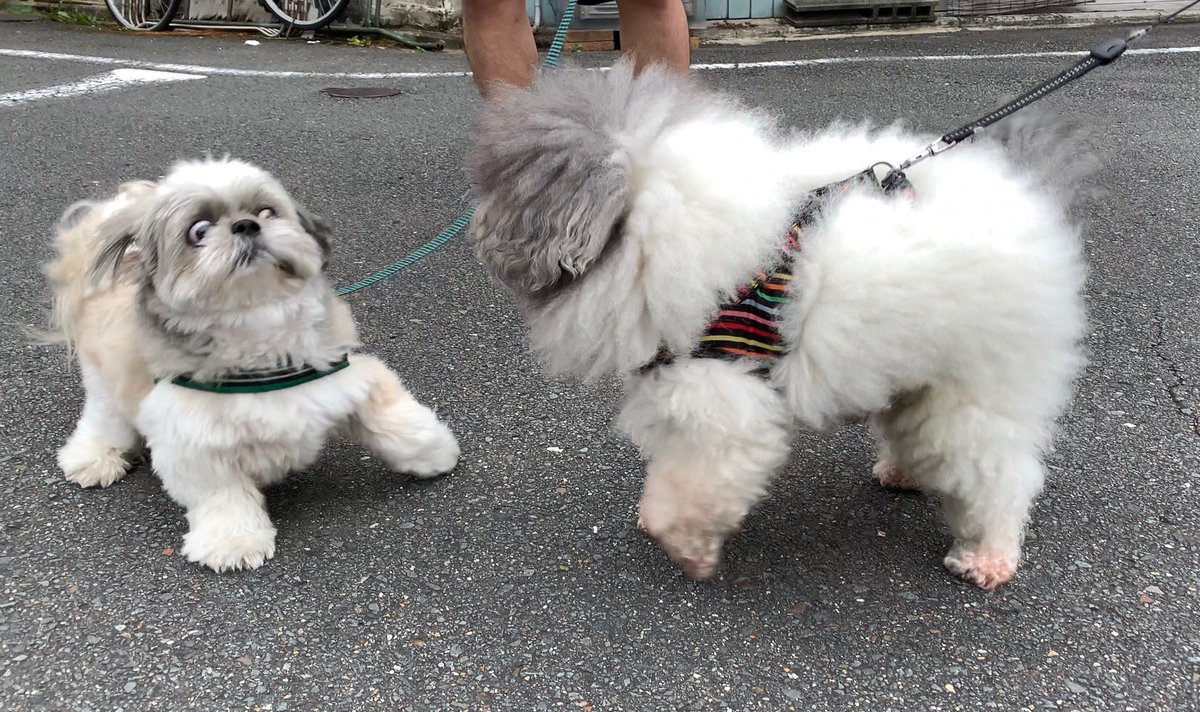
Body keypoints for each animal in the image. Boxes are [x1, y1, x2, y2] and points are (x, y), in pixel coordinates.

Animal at [45, 157, 458, 571]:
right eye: (199, 231)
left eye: (266, 212)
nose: (246, 225)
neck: (259, 334)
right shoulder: (193, 441)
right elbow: (221, 496)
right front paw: (233, 542)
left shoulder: (348, 375)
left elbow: (394, 419)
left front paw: (433, 453)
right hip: (106, 383)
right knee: (105, 420)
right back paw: (94, 458)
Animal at [470, 62, 1099, 588]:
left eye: (501, 189)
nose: (474, 231)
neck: (657, 222)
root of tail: (1023, 199)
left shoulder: (721, 403)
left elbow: (690, 490)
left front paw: (686, 548)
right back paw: (902, 473)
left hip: (976, 388)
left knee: (999, 474)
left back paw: (987, 556)